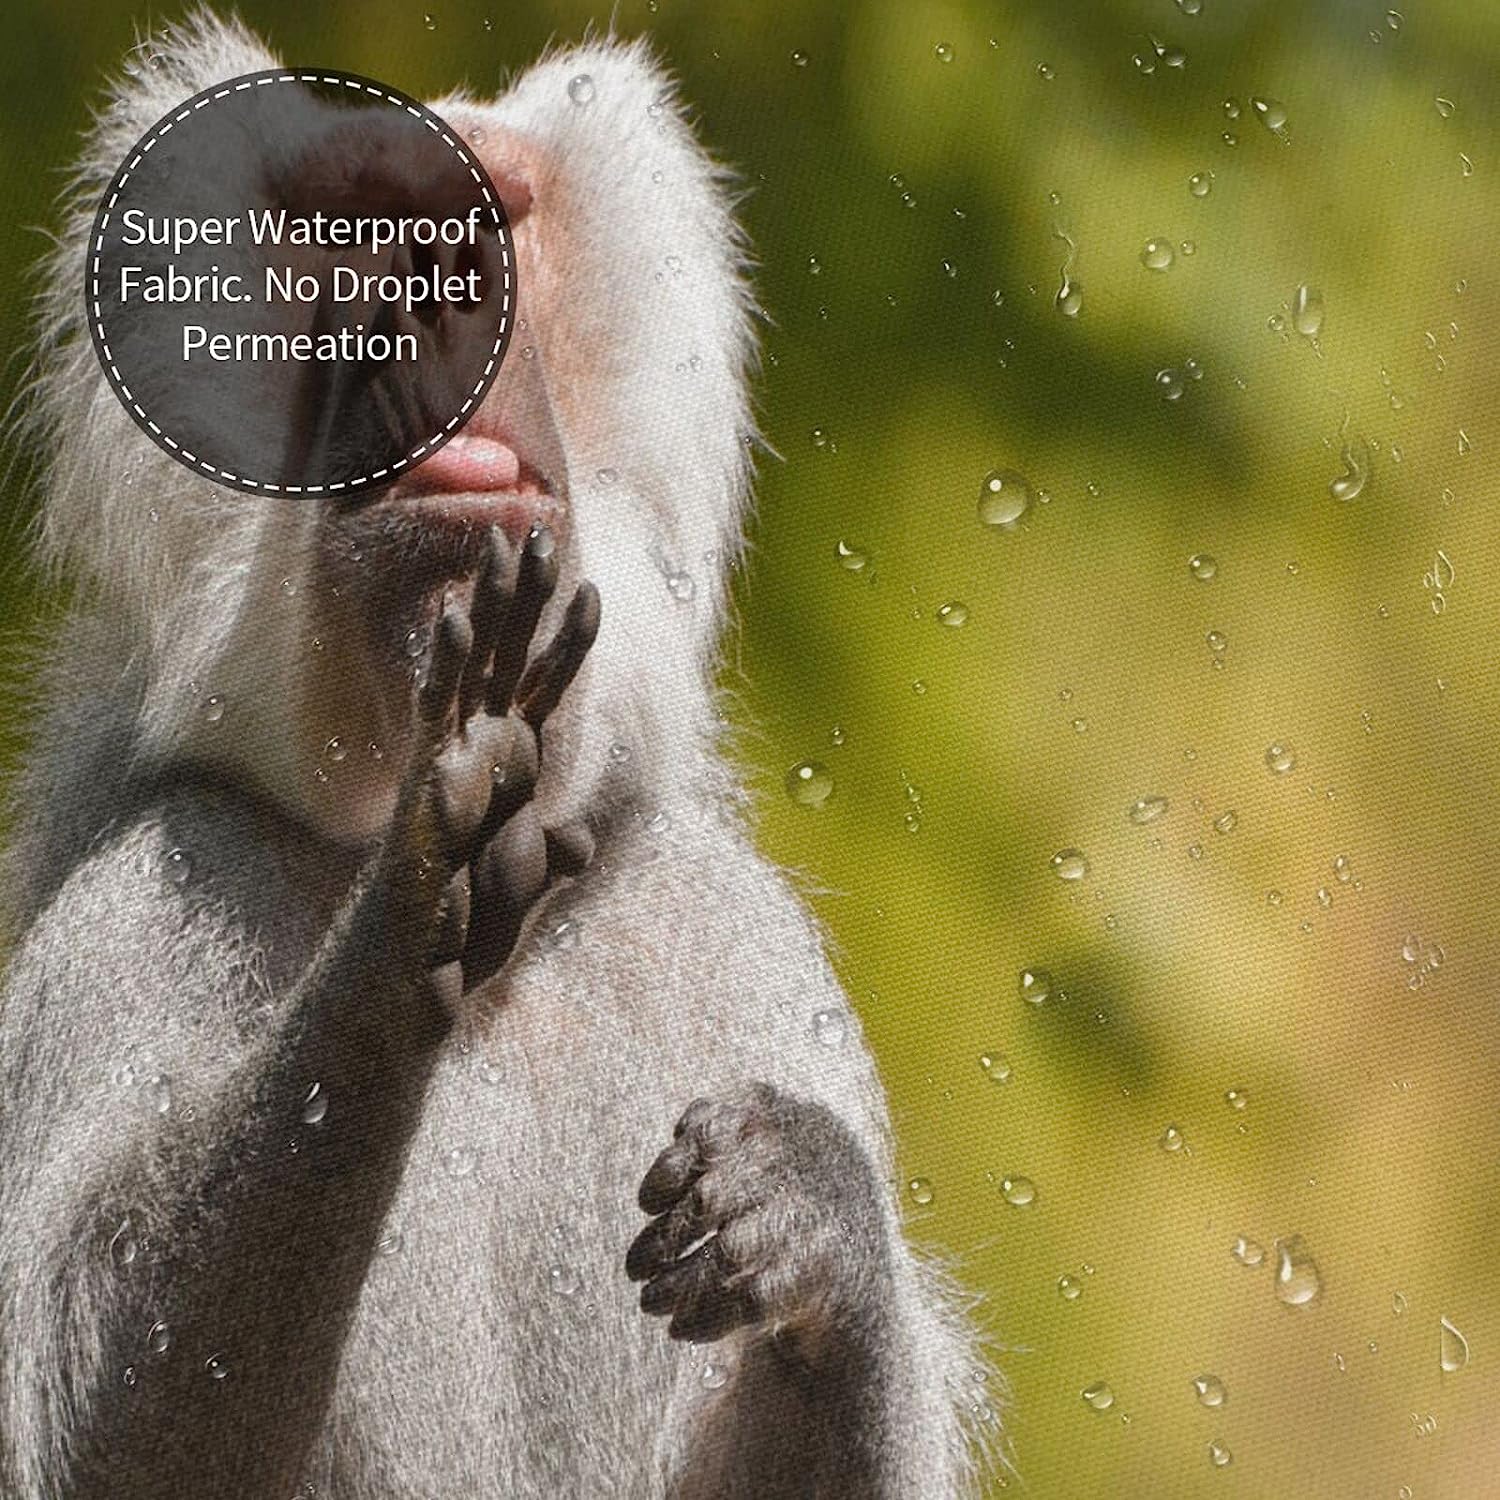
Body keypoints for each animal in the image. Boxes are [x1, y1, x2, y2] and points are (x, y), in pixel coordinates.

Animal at [0, 12, 1001, 1498]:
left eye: (493, 214)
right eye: (364, 218)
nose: (437, 288)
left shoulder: (741, 952)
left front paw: (805, 1212)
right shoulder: (146, 891)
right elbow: (98, 1419)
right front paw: (434, 862)